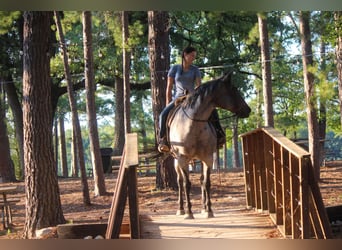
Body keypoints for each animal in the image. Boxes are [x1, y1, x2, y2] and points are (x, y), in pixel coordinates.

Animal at [168, 72, 251, 219]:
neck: (192, 125)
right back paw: (181, 208)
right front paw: (189, 212)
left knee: (201, 180)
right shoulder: (183, 159)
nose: (248, 110)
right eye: (234, 89)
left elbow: (206, 183)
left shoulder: (208, 158)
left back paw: (203, 207)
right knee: (179, 182)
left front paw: (209, 210)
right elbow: (186, 184)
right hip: (176, 161)